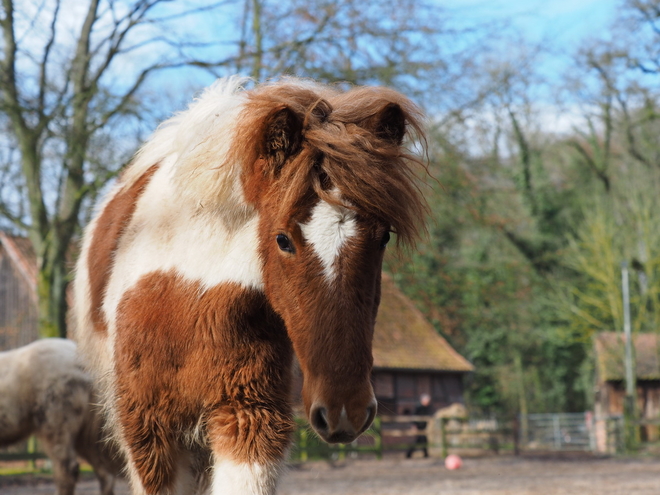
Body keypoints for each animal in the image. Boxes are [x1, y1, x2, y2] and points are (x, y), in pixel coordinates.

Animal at [73, 77, 428, 495]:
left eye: (384, 237)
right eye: (282, 239)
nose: (346, 411)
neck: (188, 295)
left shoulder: (249, 416)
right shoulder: (150, 434)